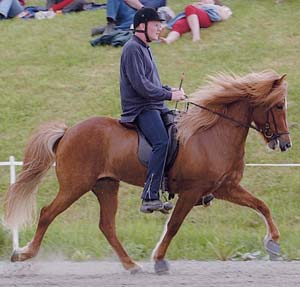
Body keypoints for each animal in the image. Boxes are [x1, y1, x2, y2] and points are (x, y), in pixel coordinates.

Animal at [4, 70, 290, 274]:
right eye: (278, 106)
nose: (285, 144)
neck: (213, 134)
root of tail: (67, 132)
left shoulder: (223, 188)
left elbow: (261, 205)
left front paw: (274, 243)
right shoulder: (192, 191)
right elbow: (173, 225)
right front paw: (160, 260)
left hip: (106, 186)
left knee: (106, 225)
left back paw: (131, 265)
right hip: (75, 186)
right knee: (47, 214)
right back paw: (23, 254)